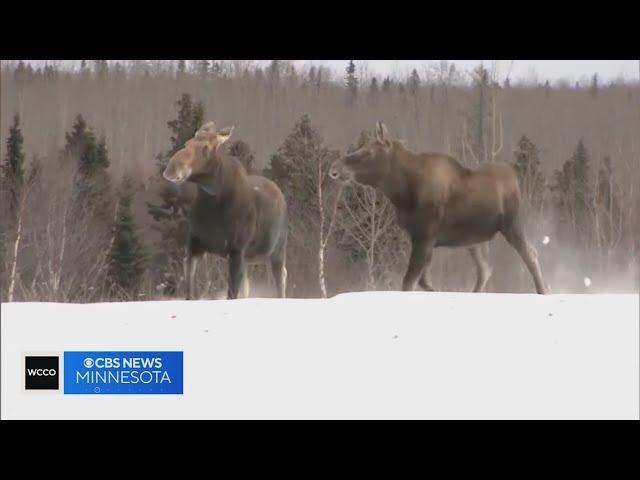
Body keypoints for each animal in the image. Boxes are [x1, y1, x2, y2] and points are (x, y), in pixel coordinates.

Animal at [162, 122, 288, 298]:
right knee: (247, 286)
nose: (172, 168)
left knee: (281, 277)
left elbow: (231, 294)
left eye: (206, 147)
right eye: (187, 143)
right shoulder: (194, 246)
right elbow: (189, 293)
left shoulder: (237, 250)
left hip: (277, 251)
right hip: (249, 259)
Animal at [330, 121, 544, 292]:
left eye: (368, 152)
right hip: (474, 240)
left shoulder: (424, 236)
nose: (334, 169)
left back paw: (542, 291)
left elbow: (409, 282)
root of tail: (515, 177)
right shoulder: (421, 239)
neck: (401, 192)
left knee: (531, 254)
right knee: (485, 269)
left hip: (511, 224)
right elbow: (422, 282)